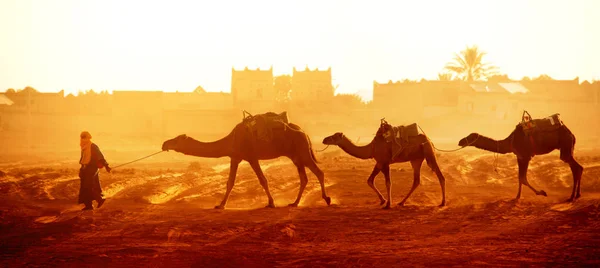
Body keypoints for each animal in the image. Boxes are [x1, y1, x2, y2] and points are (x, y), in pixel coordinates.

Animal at [162, 112, 330, 208]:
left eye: (176, 140)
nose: (164, 144)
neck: (231, 140)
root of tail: (304, 132)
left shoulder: (251, 157)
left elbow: (263, 180)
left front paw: (271, 203)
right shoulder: (235, 157)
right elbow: (230, 182)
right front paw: (220, 205)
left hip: (302, 152)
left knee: (319, 172)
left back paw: (327, 199)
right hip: (295, 156)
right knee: (304, 178)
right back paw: (294, 203)